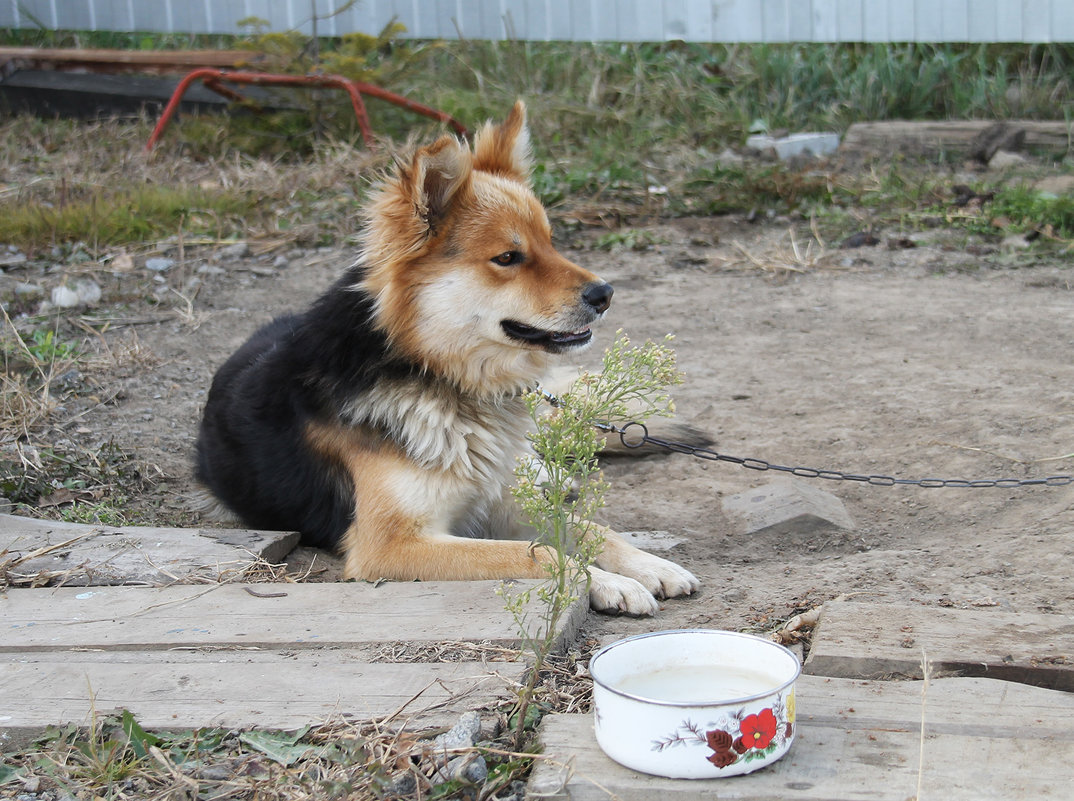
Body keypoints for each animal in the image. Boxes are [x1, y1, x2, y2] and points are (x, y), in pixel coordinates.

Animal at [194, 101, 700, 609]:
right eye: (508, 257)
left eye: (551, 242)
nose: (605, 294)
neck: (438, 373)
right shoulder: (390, 544)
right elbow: (538, 555)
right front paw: (610, 582)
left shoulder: (502, 502)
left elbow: (591, 529)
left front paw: (650, 565)